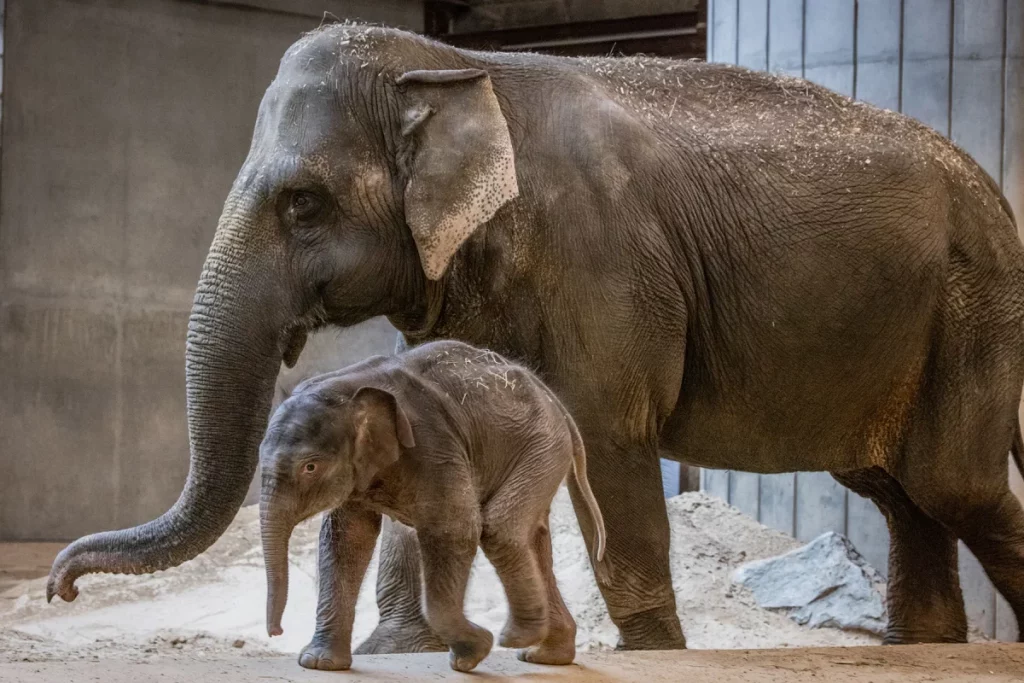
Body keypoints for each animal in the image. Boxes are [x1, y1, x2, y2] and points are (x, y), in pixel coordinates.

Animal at [258, 339, 606, 671]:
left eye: (310, 467)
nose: (276, 632)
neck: (348, 384)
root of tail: (554, 400)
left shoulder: (433, 444)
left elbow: (454, 529)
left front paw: (473, 653)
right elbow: (346, 540)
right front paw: (319, 664)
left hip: (542, 446)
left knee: (500, 530)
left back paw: (516, 638)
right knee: (532, 539)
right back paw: (544, 655)